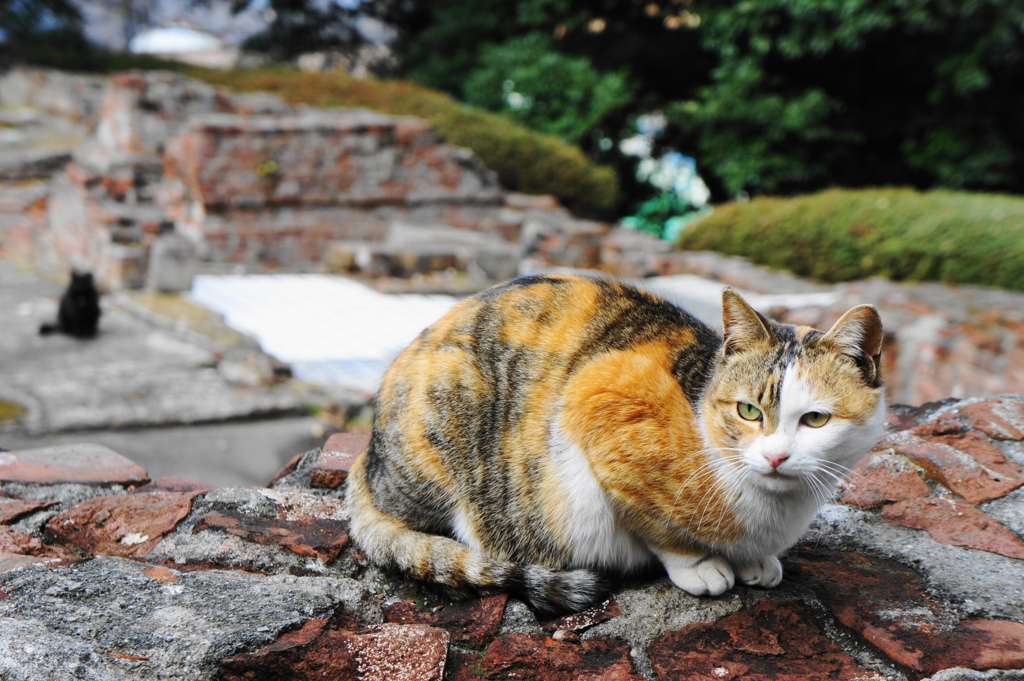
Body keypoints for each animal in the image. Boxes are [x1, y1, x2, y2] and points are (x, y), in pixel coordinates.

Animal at [348, 274, 884, 614]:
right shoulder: (600, 395)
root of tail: (367, 459)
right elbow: (655, 526)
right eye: (748, 411)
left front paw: (755, 561)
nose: (775, 456)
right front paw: (702, 566)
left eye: (815, 419)